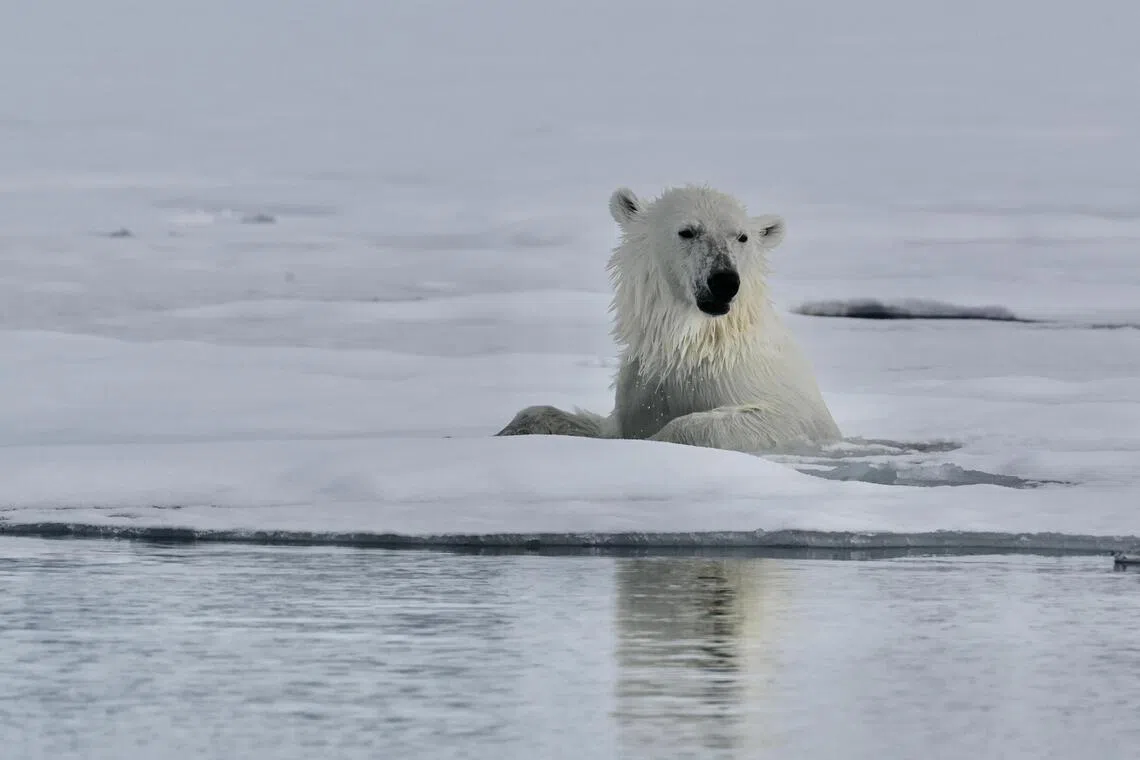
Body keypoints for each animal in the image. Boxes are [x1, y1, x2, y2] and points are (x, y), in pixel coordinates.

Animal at [495, 184, 842, 454]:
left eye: (741, 237)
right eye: (687, 231)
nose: (725, 281)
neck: (694, 343)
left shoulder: (771, 394)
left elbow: (761, 419)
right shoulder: (643, 389)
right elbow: (601, 426)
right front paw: (510, 429)